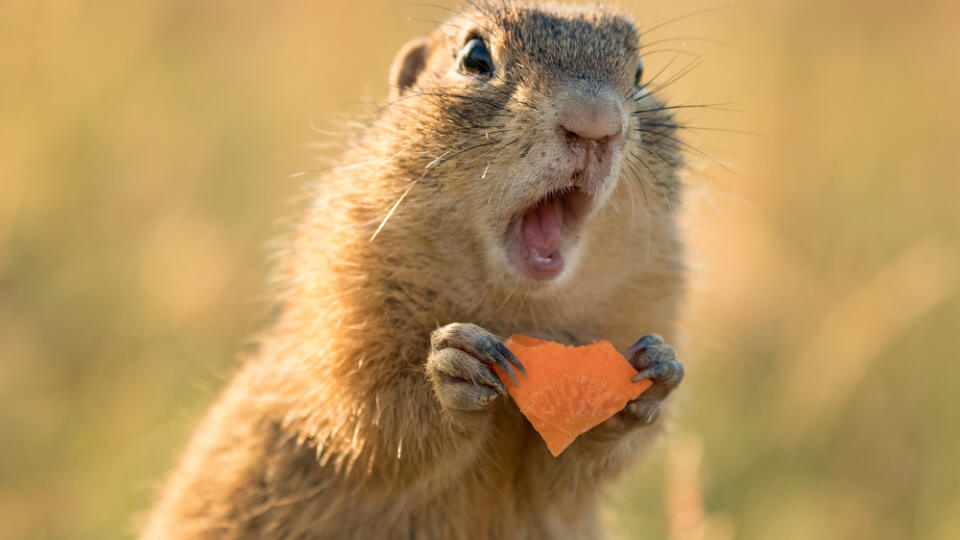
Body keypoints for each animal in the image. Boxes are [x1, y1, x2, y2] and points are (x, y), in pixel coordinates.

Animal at [142, 2, 688, 536]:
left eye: (639, 72)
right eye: (474, 56)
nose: (595, 123)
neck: (519, 306)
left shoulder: (651, 293)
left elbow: (564, 471)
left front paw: (656, 371)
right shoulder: (341, 298)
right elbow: (363, 412)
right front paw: (453, 366)